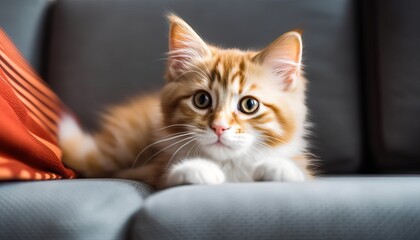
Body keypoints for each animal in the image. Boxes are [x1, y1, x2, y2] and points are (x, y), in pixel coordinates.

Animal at [60, 15, 316, 189]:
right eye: (202, 100)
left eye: (249, 105)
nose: (219, 127)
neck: (229, 167)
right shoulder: (156, 171)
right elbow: (168, 172)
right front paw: (198, 168)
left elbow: (299, 172)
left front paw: (280, 167)